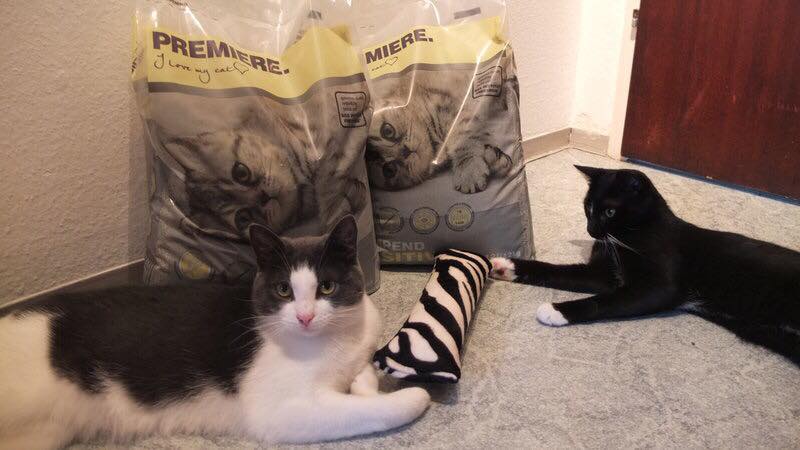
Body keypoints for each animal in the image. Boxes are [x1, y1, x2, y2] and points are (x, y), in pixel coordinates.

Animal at [0, 216, 430, 449]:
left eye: (326, 287)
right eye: (283, 290)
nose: (305, 317)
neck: (336, 338)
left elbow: (363, 374)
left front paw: (361, 381)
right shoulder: (280, 411)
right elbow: (378, 407)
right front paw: (415, 396)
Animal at [365, 53, 518, 194]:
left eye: (387, 131)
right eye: (389, 170)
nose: (405, 151)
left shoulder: (458, 110)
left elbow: (462, 140)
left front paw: (469, 170)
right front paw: (495, 159)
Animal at [490, 165, 800, 365]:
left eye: (609, 211)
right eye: (588, 207)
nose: (591, 230)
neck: (626, 238)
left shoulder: (660, 286)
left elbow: (605, 301)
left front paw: (554, 311)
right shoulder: (604, 274)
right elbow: (558, 271)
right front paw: (507, 265)